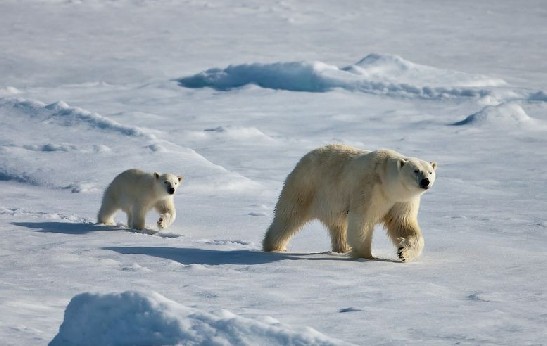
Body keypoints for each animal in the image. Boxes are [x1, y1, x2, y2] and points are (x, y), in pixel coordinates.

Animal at [264, 144, 438, 262]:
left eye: (430, 171)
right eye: (416, 170)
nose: (426, 181)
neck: (387, 182)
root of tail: (304, 158)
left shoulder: (402, 200)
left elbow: (403, 223)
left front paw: (403, 252)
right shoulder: (369, 189)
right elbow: (362, 220)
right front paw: (366, 256)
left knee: (338, 225)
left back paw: (342, 248)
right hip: (306, 187)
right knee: (289, 217)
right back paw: (274, 246)